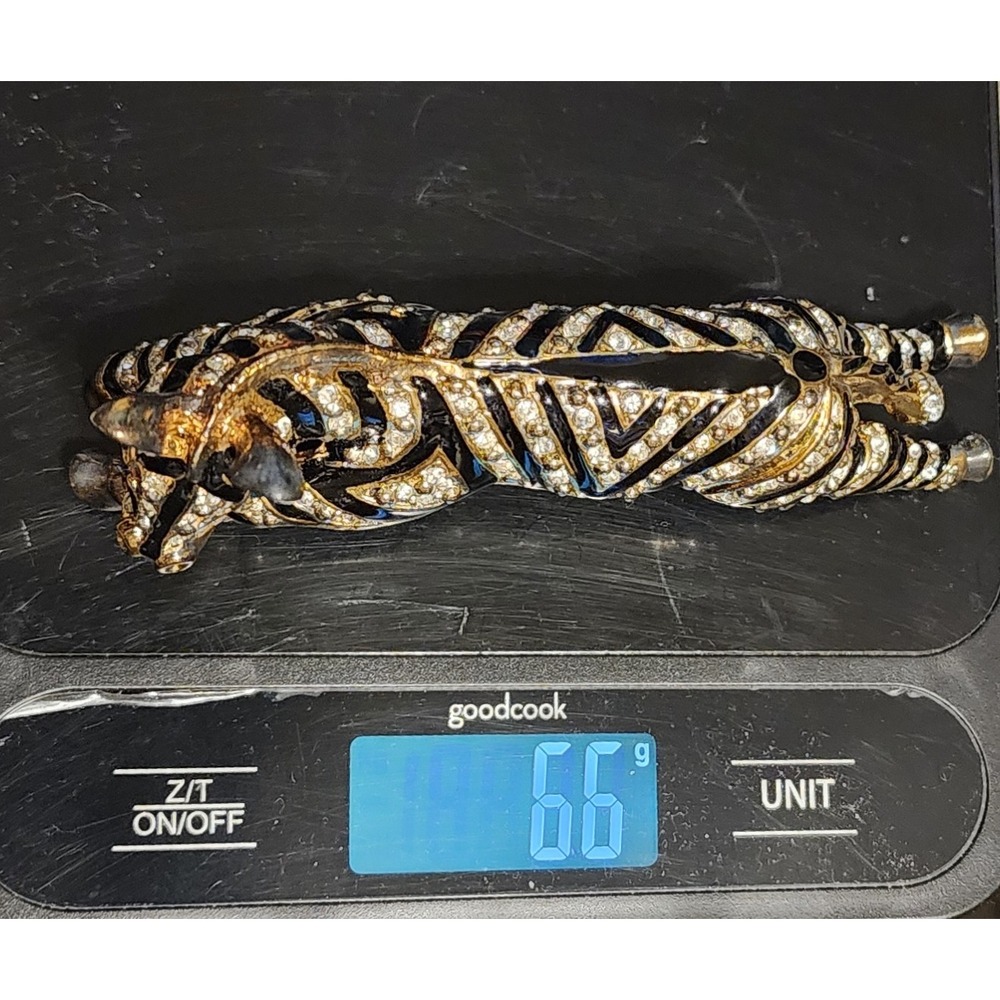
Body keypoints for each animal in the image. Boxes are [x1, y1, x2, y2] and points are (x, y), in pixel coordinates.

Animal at [69, 293, 994, 573]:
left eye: (179, 480)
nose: (133, 547)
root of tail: (810, 374)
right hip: (826, 340)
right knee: (902, 358)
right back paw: (953, 360)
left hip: (805, 471)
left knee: (916, 457)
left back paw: (971, 446)